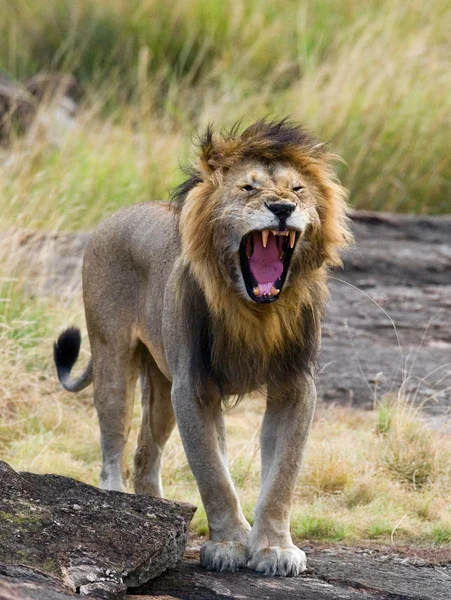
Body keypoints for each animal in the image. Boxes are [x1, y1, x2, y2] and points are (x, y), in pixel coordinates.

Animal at [53, 118, 350, 576]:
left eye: (298, 189)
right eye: (248, 188)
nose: (281, 208)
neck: (255, 314)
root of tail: (116, 215)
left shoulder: (295, 386)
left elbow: (281, 476)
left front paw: (274, 548)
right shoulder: (193, 387)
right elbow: (213, 472)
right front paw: (228, 543)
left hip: (160, 388)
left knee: (145, 455)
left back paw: (153, 513)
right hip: (112, 358)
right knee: (113, 442)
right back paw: (116, 503)